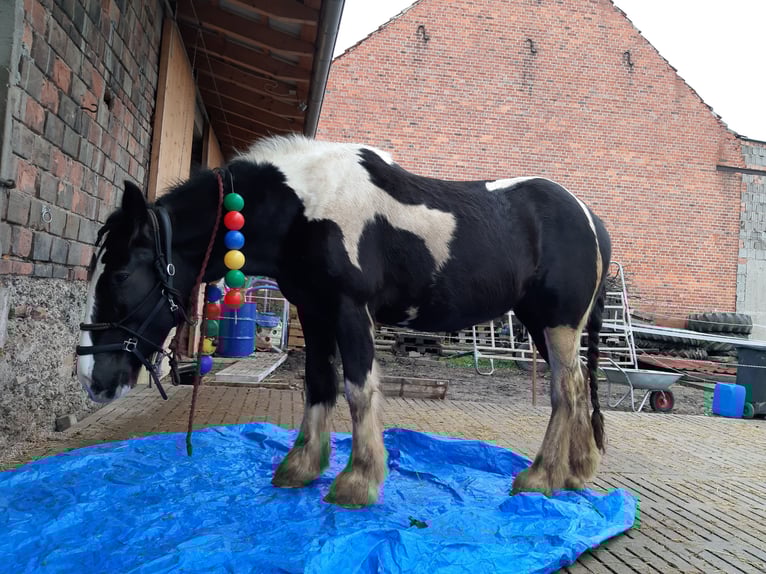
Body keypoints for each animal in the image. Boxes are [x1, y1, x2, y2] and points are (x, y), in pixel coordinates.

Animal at [76, 134, 611, 507]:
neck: (304, 206)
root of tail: (591, 218)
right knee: (579, 388)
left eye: (120, 274)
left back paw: (539, 478)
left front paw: (358, 481)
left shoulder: (350, 308)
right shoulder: (314, 310)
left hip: (559, 324)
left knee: (565, 392)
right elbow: (318, 383)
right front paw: (301, 467)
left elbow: (357, 388)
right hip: (543, 324)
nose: (91, 380)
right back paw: (575, 474)